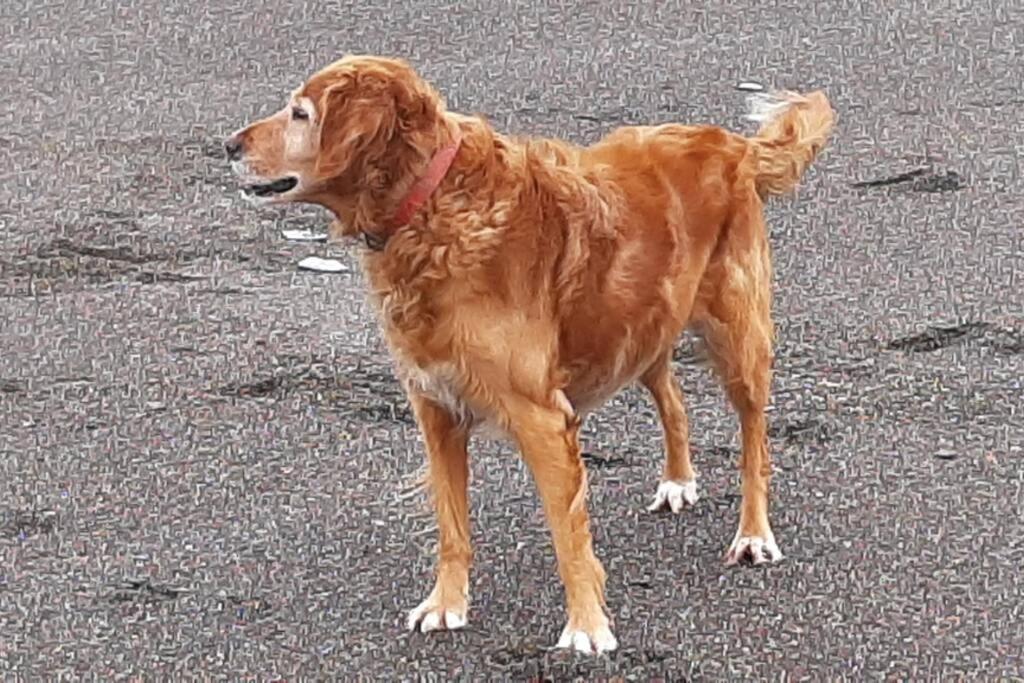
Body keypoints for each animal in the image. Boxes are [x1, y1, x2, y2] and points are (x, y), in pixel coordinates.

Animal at [224, 56, 831, 655]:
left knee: (754, 441)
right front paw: (446, 604)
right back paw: (678, 480)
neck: (433, 208)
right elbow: (452, 525)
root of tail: (730, 143)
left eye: (301, 113)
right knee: (672, 396)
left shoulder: (541, 419)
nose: (228, 145)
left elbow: (568, 536)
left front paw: (587, 626)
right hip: (637, 326)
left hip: (737, 339)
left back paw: (752, 534)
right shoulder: (436, 411)